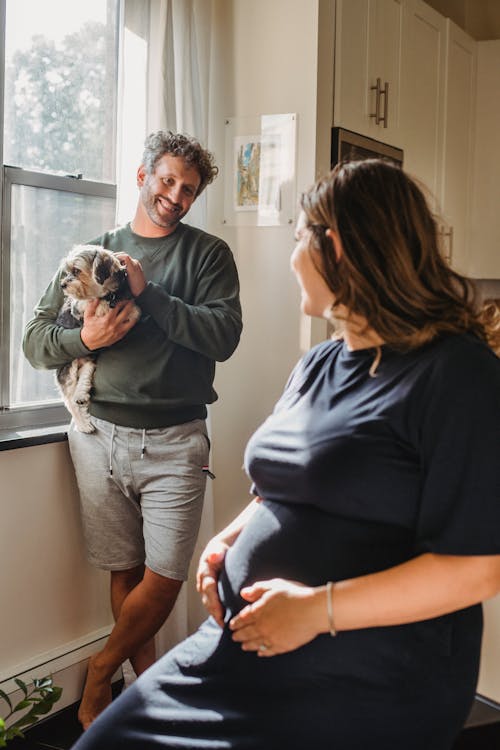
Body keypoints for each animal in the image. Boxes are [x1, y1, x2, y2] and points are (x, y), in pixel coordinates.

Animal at [56, 247, 141, 434]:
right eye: (67, 271)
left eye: (76, 271)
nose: (62, 284)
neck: (107, 295)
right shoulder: (80, 307)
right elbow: (85, 304)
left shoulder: (130, 308)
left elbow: (134, 313)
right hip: (68, 368)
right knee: (69, 400)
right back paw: (83, 424)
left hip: (89, 361)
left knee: (85, 377)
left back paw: (81, 396)